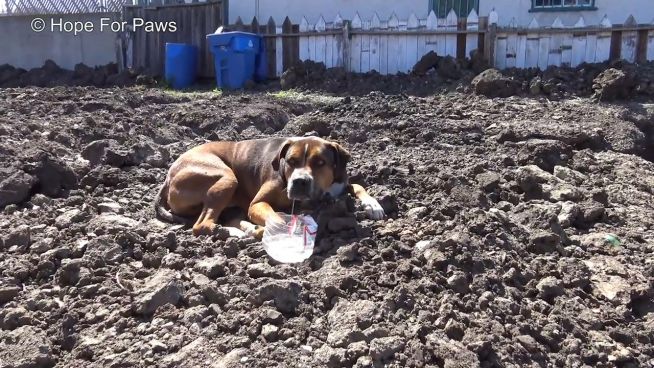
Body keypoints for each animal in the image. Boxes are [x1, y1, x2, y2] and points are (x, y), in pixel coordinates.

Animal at [156, 137, 386, 239]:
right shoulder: (257, 204)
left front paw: (373, 205)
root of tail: (167, 177)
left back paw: (246, 229)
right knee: (201, 225)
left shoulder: (340, 184)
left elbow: (358, 185)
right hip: (226, 177)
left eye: (320, 162)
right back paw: (238, 232)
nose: (299, 181)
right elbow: (276, 217)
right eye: (291, 161)